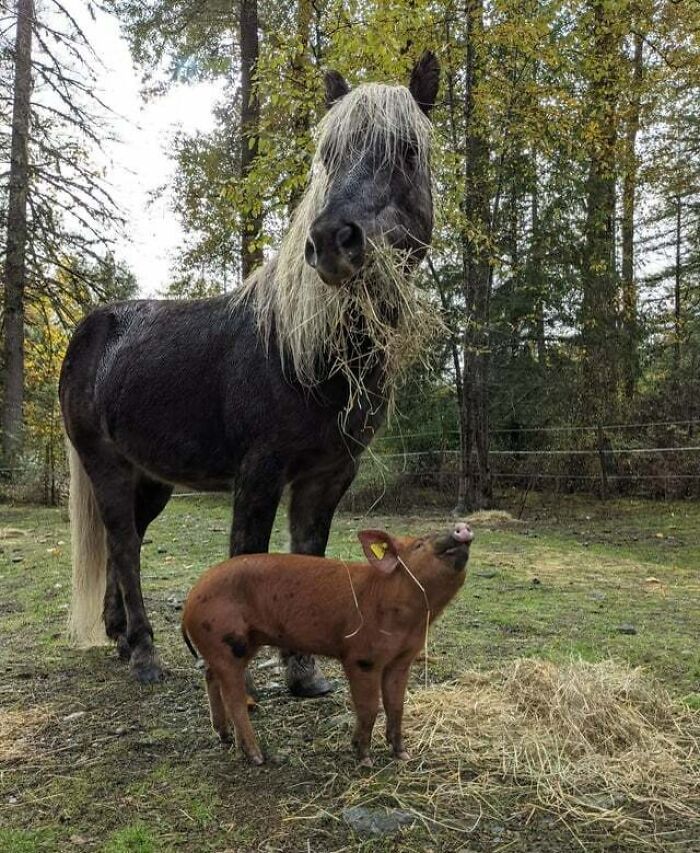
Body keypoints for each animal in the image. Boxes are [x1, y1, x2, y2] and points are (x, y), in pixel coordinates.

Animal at [61, 51, 442, 684]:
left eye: (408, 151)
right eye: (328, 155)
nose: (331, 241)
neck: (307, 354)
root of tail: (92, 328)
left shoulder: (328, 476)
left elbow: (306, 555)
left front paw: (304, 675)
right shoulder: (259, 473)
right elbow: (248, 557)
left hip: (151, 478)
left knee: (124, 542)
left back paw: (120, 637)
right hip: (106, 466)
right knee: (124, 544)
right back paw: (144, 652)